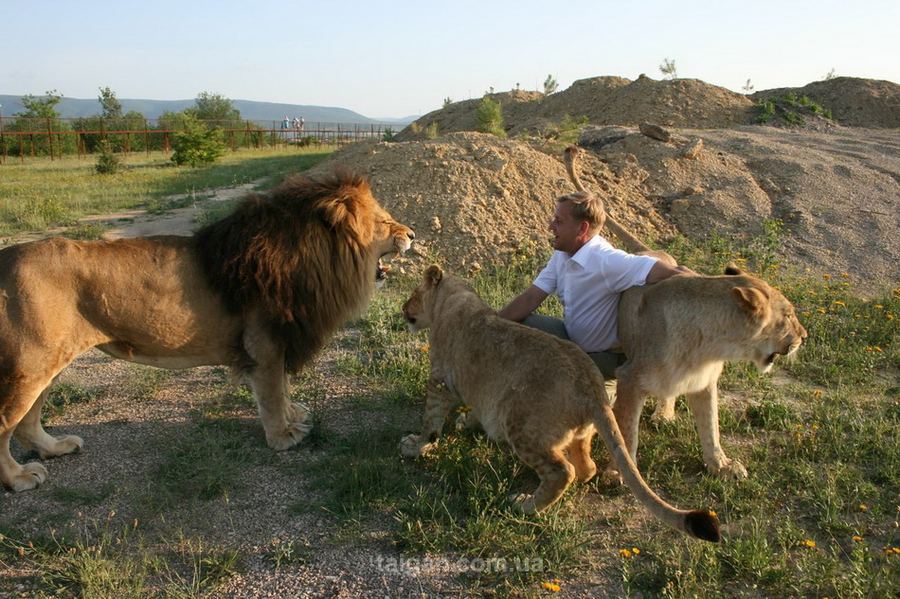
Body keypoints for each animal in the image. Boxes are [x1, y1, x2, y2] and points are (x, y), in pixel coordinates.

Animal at [0, 170, 414, 492]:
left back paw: (55, 448)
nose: (412, 234)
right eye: (383, 221)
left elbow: (282, 389)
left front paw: (294, 415)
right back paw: (19, 478)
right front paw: (282, 437)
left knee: (27, 422)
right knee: (7, 423)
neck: (310, 258)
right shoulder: (264, 345)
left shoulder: (278, 340)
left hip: (47, 363)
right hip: (31, 364)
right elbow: (271, 394)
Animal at [398, 268, 720, 544]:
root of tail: (592, 389)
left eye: (414, 293)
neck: (456, 297)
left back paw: (525, 505)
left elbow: (430, 421)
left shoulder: (440, 381)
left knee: (561, 471)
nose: (402, 309)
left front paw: (415, 445)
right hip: (580, 431)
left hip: (521, 424)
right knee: (585, 467)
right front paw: (466, 424)